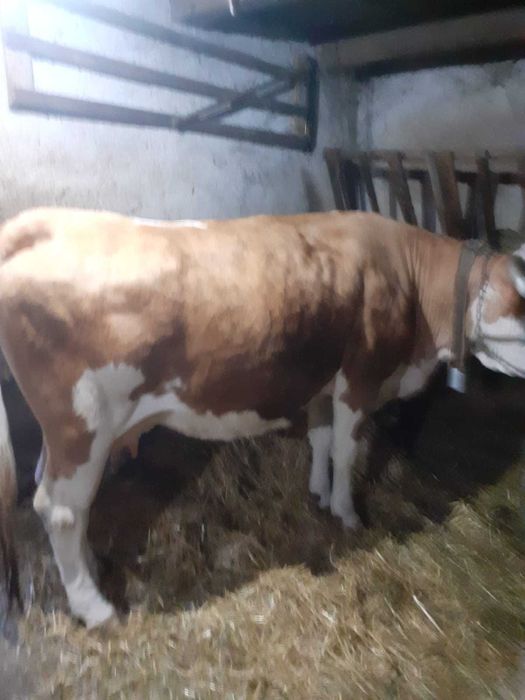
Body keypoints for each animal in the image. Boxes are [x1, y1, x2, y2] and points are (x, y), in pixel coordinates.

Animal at [0, 207, 524, 629]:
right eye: (521, 298)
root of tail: (43, 220)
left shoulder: (322, 381)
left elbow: (320, 438)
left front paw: (317, 492)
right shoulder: (360, 376)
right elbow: (347, 450)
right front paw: (347, 513)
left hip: (69, 431)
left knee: (64, 497)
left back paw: (90, 569)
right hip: (82, 422)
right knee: (60, 508)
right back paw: (95, 608)